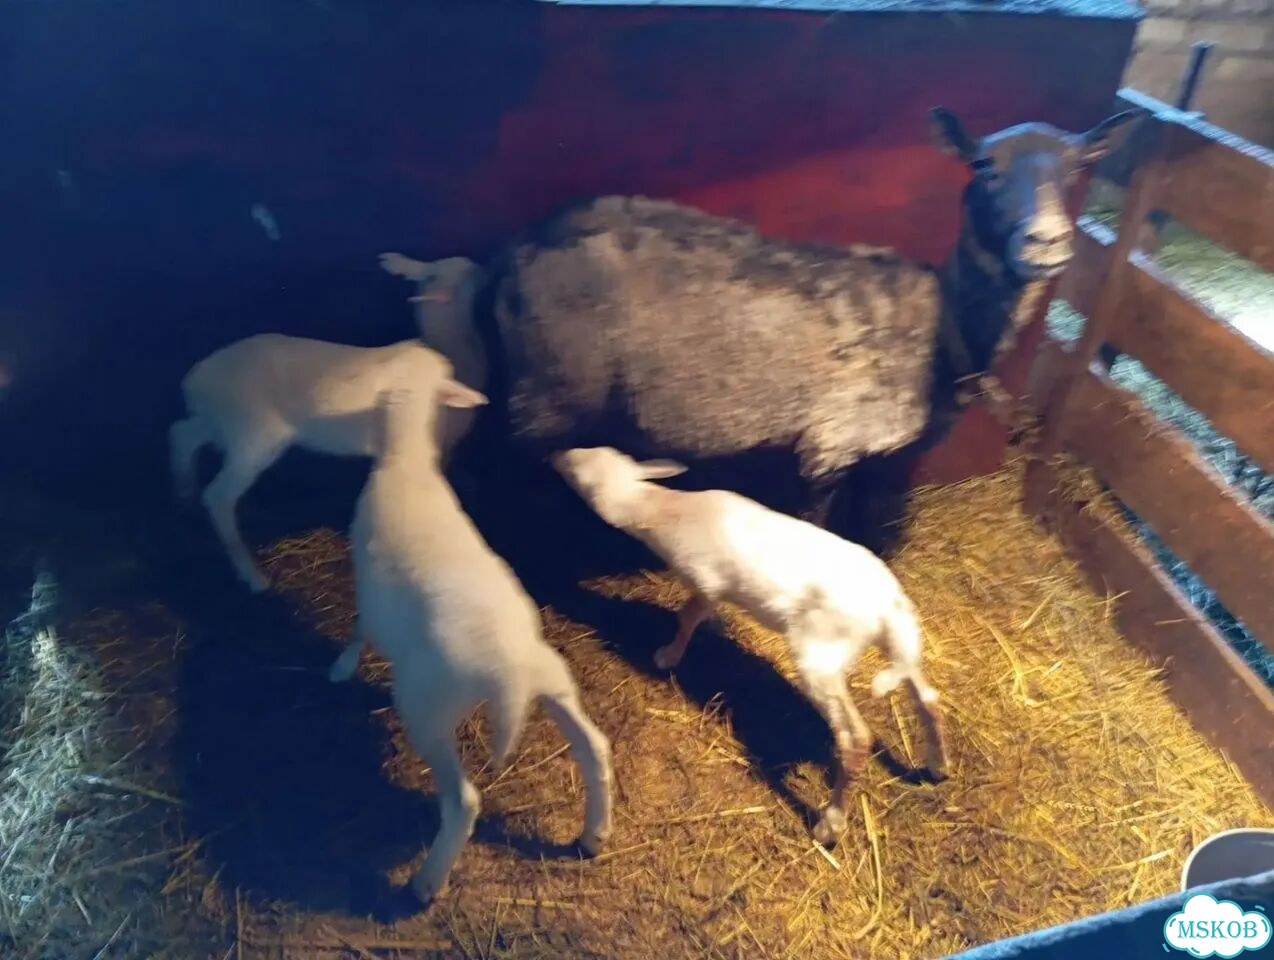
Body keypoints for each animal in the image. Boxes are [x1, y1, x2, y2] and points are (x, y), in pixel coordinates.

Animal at [327, 345, 613, 903]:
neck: (407, 461)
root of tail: (509, 674)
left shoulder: (368, 586)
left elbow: (360, 626)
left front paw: (343, 665)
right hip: (553, 678)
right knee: (595, 749)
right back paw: (594, 835)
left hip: (428, 710)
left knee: (464, 802)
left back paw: (426, 883)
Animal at [551, 446, 948, 844]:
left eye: (576, 467)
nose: (556, 455)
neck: (664, 508)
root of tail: (887, 606)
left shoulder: (707, 581)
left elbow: (689, 615)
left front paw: (668, 655)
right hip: (897, 642)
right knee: (928, 698)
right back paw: (937, 765)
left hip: (820, 656)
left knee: (856, 739)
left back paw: (829, 824)